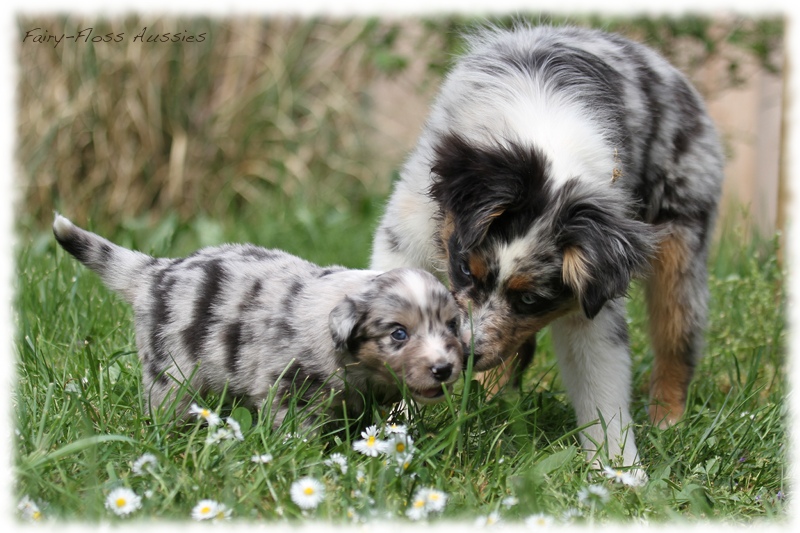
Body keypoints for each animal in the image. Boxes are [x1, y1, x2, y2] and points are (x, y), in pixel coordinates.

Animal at [54, 214, 462, 426]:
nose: (443, 369)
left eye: (451, 326)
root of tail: (156, 271)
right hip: (170, 372)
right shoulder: (288, 387)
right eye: (398, 334)